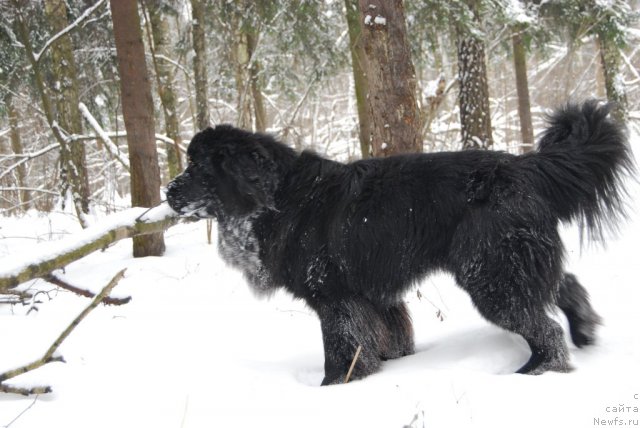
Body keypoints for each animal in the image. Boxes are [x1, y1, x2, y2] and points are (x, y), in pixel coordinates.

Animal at [168, 101, 632, 384]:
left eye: (198, 168)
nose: (168, 192)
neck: (277, 198)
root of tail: (524, 167)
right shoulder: (373, 297)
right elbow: (388, 337)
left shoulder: (335, 298)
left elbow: (340, 347)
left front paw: (334, 387)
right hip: (514, 261)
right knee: (564, 286)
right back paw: (585, 331)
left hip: (493, 275)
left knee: (544, 327)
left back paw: (533, 374)